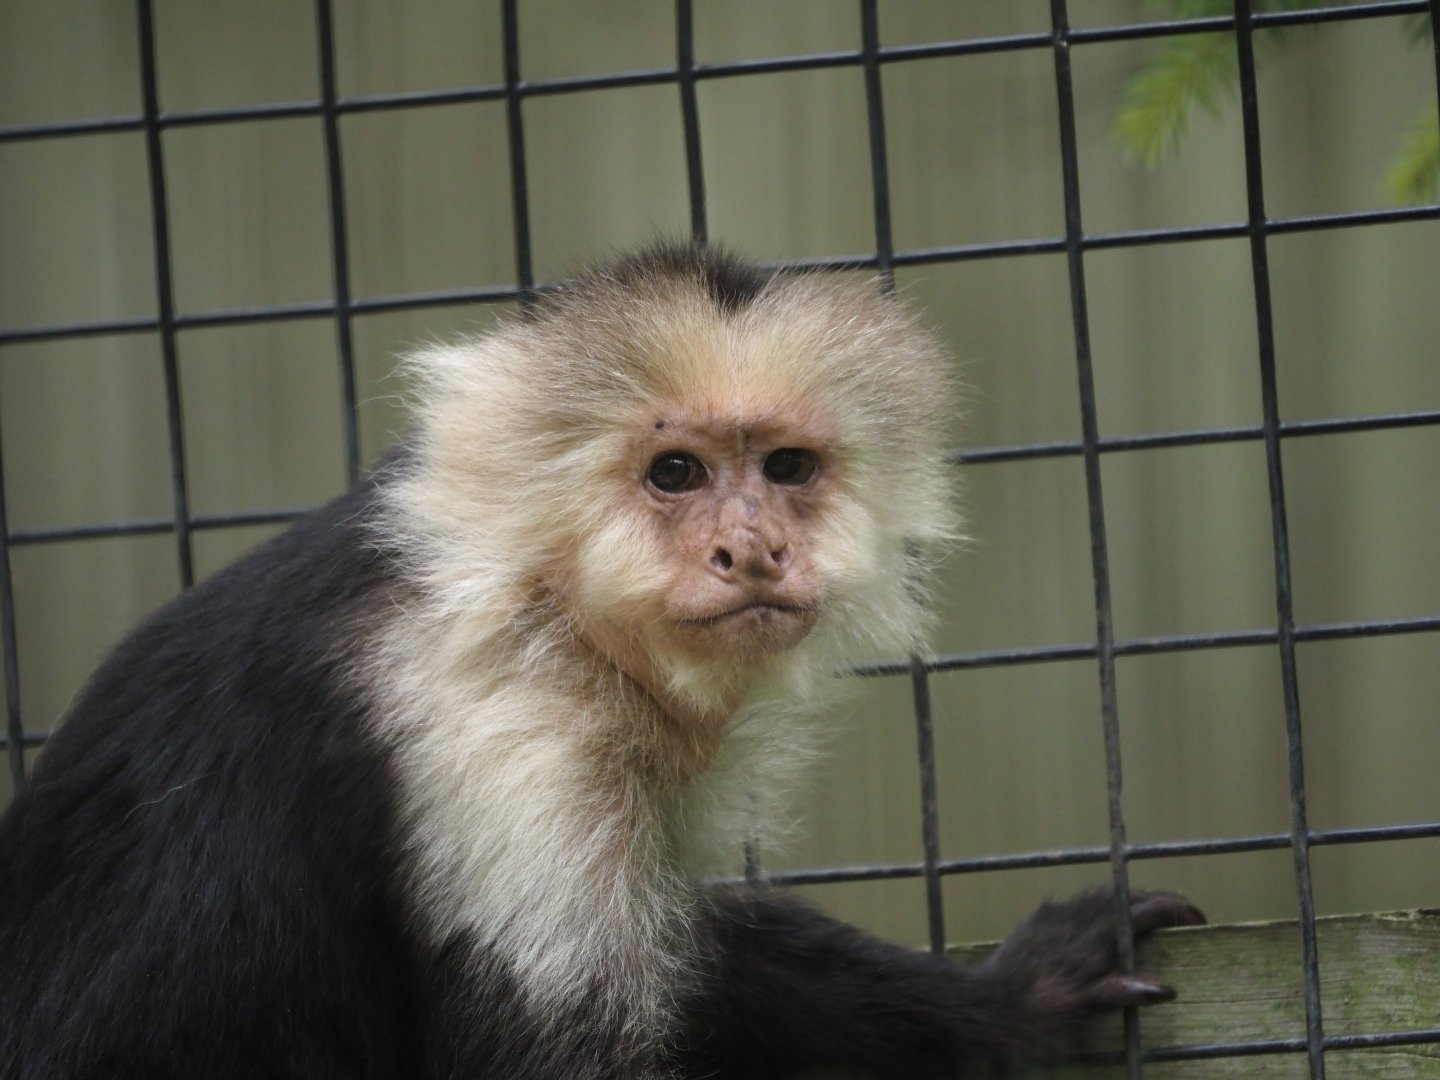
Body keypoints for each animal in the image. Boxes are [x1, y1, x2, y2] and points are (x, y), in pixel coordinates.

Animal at [0, 242, 1202, 1080]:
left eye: (786, 467)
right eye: (675, 473)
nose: (751, 549)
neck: (548, 612)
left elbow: (696, 952)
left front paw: (1002, 1002)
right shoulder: (502, 736)